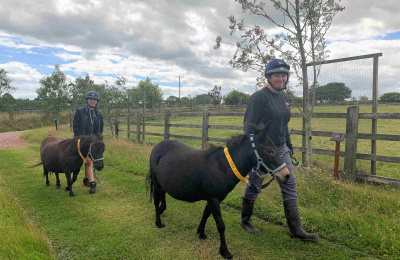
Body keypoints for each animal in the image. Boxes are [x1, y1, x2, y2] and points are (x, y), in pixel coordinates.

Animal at [145, 124, 290, 258]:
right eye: (270, 151)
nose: (286, 175)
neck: (223, 167)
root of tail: (158, 146)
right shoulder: (214, 199)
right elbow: (220, 225)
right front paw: (225, 251)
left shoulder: (213, 199)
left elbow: (205, 215)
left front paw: (201, 233)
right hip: (156, 181)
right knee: (156, 199)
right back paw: (158, 222)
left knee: (163, 194)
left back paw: (162, 210)